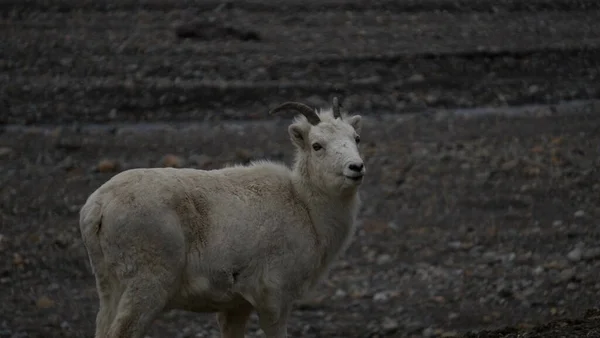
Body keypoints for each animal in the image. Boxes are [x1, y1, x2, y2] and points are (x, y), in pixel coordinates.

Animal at [79, 96, 366, 336]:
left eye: (356, 138)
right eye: (317, 145)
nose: (356, 167)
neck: (305, 206)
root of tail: (99, 206)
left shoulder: (236, 306)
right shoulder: (275, 298)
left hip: (110, 289)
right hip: (146, 288)